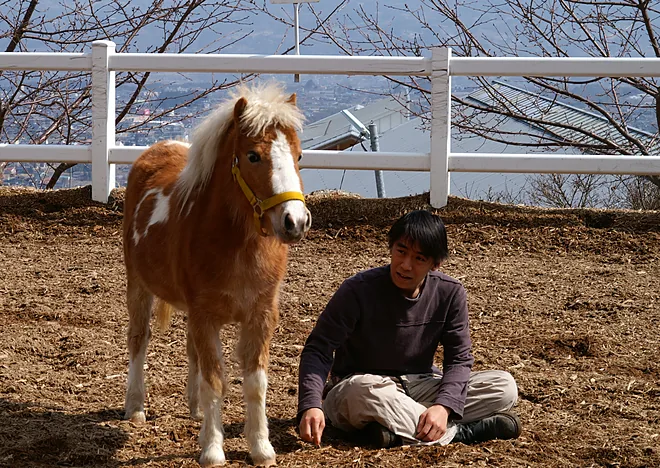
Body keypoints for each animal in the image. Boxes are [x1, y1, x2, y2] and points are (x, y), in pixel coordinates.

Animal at [121, 83, 311, 467]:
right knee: (139, 338)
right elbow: (215, 381)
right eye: (253, 156)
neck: (237, 245)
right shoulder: (205, 315)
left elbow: (255, 383)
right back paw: (135, 407)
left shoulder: (259, 315)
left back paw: (194, 410)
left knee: (190, 349)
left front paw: (261, 448)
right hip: (138, 284)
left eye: (299, 155)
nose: (295, 222)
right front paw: (211, 449)